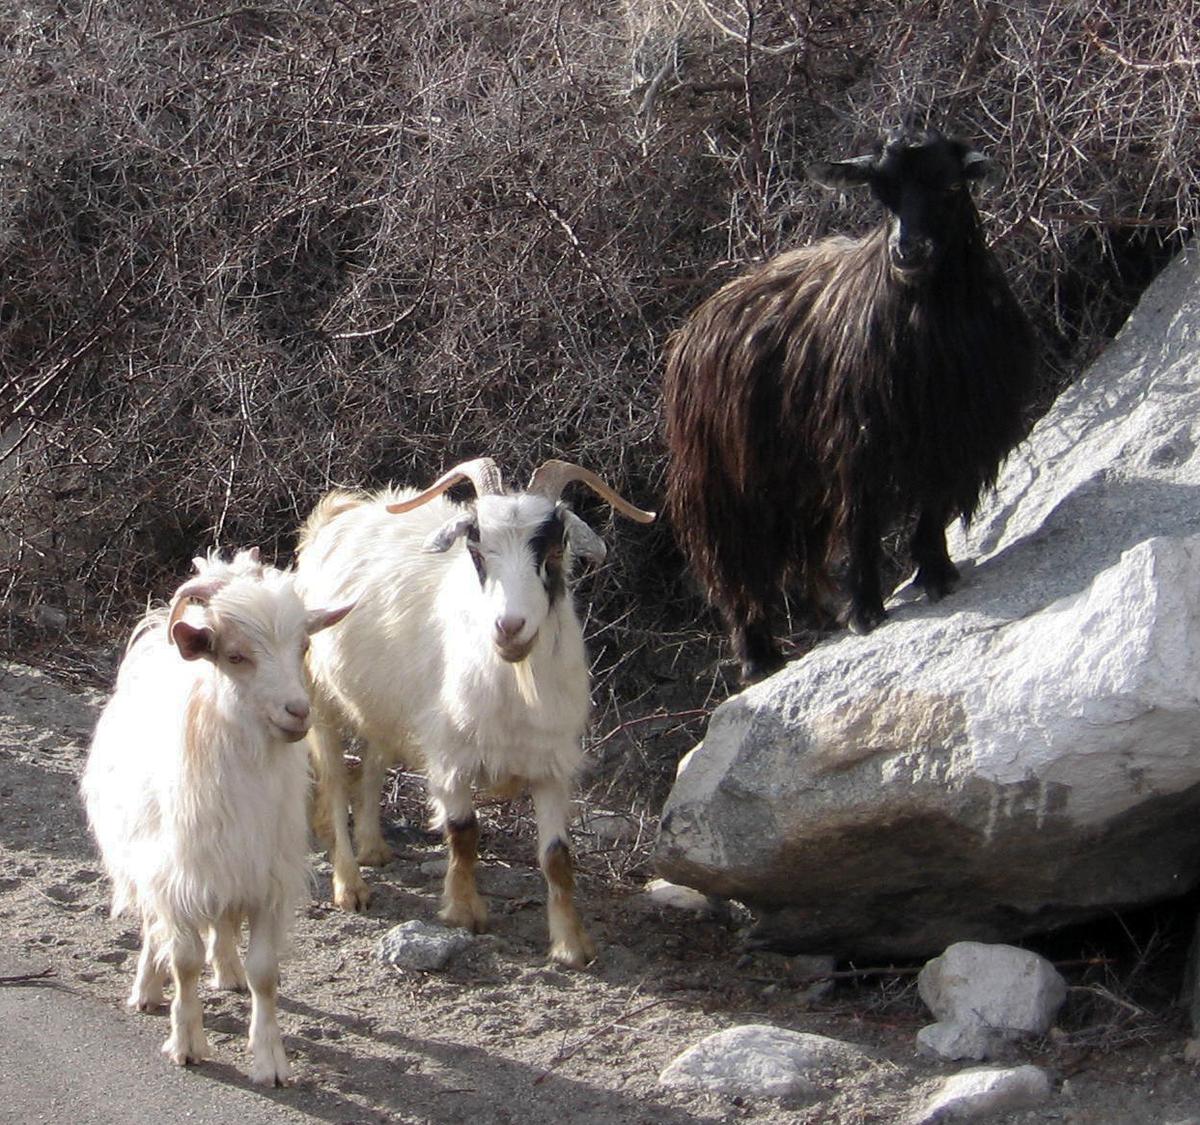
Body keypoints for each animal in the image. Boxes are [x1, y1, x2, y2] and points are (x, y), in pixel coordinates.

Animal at [81, 549, 352, 1084]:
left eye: (303, 646)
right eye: (236, 656)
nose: (298, 711)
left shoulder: (265, 878)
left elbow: (265, 973)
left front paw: (269, 1059)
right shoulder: (177, 877)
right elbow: (183, 961)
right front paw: (186, 1043)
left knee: (223, 924)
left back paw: (227, 973)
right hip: (149, 862)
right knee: (154, 929)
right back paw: (147, 989)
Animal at [295, 458, 654, 968]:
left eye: (554, 549)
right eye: (477, 550)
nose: (509, 627)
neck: (514, 682)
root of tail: (340, 514)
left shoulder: (552, 765)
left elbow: (557, 856)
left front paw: (571, 944)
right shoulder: (451, 756)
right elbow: (463, 834)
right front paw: (464, 913)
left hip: (386, 706)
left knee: (373, 762)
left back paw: (373, 847)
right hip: (318, 695)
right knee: (332, 780)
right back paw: (351, 886)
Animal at [663, 126, 1037, 684]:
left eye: (952, 186)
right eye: (880, 194)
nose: (908, 251)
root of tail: (699, 320)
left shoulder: (954, 437)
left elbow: (932, 508)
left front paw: (937, 574)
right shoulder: (856, 443)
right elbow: (860, 523)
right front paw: (865, 611)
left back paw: (821, 619)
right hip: (719, 481)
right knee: (732, 566)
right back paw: (758, 655)